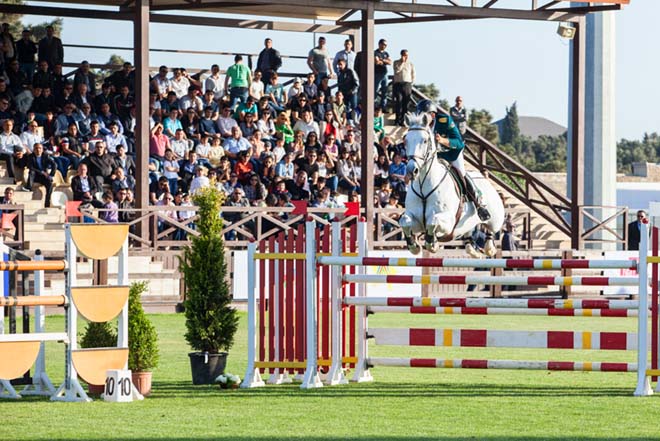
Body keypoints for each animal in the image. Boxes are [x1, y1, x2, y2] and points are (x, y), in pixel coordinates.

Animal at [398, 113, 506, 256]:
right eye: (406, 141)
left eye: (425, 141)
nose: (412, 170)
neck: (423, 189)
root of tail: (484, 179)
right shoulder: (416, 220)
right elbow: (404, 221)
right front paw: (414, 245)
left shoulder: (448, 221)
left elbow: (433, 221)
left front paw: (432, 244)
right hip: (468, 225)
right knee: (469, 238)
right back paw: (473, 249)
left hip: (495, 219)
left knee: (491, 230)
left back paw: (489, 247)